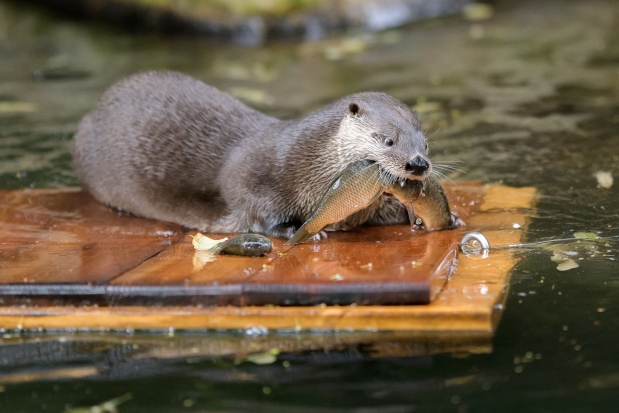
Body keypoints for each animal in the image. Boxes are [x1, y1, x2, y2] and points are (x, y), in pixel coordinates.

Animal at [72, 71, 432, 238]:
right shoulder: (257, 178)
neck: (304, 161)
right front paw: (295, 230)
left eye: (425, 143)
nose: (417, 164)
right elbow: (257, 213)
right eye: (387, 140)